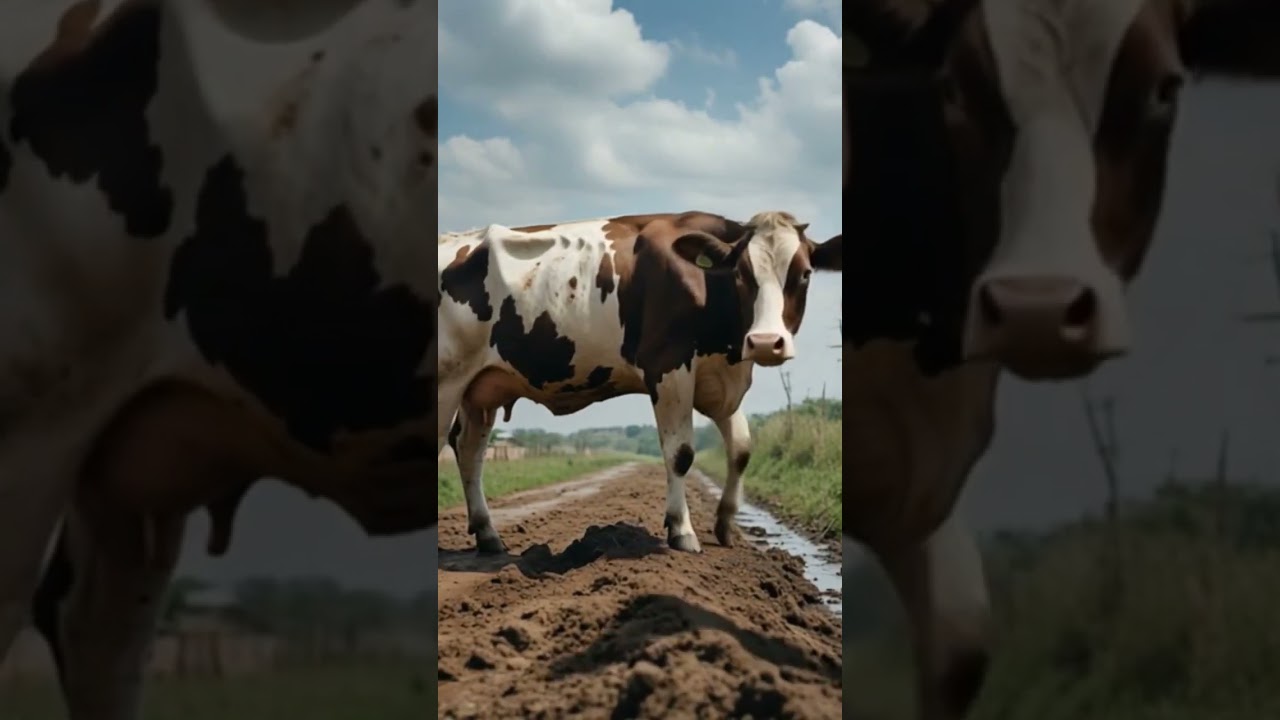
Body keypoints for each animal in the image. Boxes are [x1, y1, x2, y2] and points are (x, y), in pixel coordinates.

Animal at [437, 211, 842, 554]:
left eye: (805, 273)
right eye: (742, 274)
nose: (765, 342)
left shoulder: (717, 379)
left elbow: (741, 448)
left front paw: (725, 525)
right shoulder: (668, 366)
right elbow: (681, 454)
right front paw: (682, 531)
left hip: (480, 388)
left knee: (469, 448)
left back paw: (488, 534)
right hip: (446, 380)